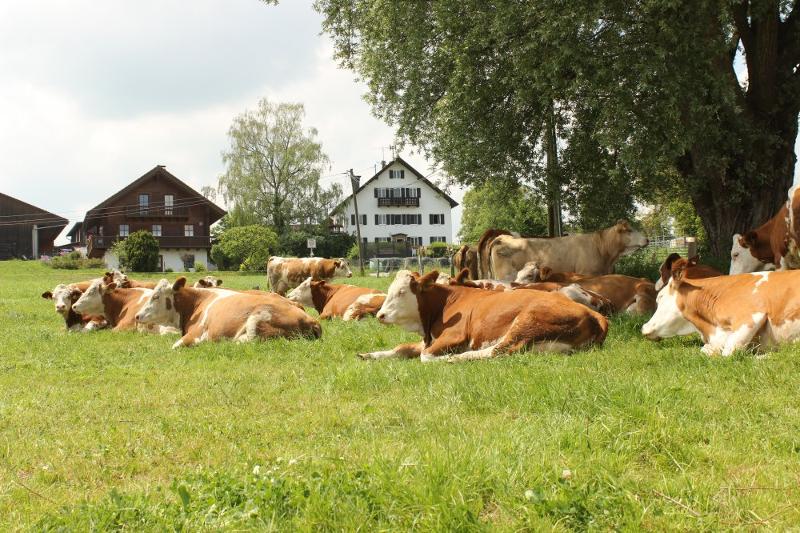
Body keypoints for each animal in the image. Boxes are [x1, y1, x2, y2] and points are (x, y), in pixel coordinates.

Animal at [137, 276, 322, 348]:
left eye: (156, 296)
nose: (137, 316)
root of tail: (312, 320)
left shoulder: (194, 334)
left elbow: (175, 346)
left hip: (257, 318)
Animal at [358, 270, 608, 362]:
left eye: (401, 292)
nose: (380, 314)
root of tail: (592, 312)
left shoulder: (453, 336)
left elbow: (425, 356)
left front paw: (445, 357)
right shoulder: (429, 339)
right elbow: (401, 348)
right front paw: (369, 354)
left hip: (526, 322)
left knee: (495, 351)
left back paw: (458, 358)